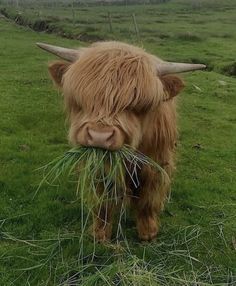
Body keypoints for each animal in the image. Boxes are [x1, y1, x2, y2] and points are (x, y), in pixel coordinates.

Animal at [37, 40, 205, 241]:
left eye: (139, 105)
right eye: (82, 99)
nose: (99, 136)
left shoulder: (156, 163)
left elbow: (149, 197)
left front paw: (148, 231)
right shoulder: (100, 168)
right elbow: (103, 200)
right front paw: (100, 233)